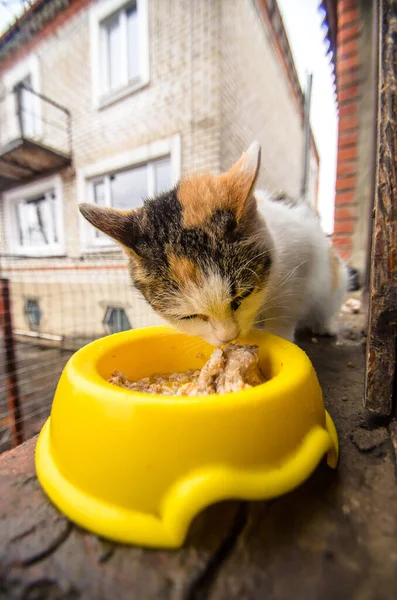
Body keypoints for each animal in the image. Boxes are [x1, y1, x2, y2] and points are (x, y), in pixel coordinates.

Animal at [79, 142, 344, 346]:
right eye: (189, 317)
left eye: (243, 296)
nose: (228, 337)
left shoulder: (303, 258)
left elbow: (287, 309)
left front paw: (279, 335)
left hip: (333, 280)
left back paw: (325, 326)